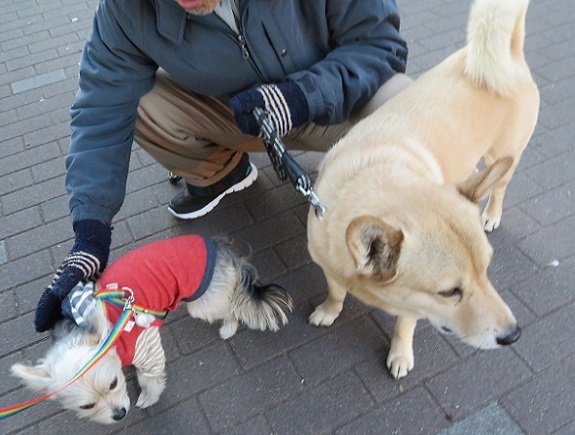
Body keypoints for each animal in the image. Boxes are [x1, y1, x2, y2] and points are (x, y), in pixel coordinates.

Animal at [11, 237, 294, 424]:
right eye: (87, 405)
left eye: (113, 384)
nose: (119, 414)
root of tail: (223, 250)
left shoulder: (146, 348)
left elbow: (150, 379)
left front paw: (149, 396)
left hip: (202, 304)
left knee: (230, 307)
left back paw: (229, 327)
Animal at [308, 0, 536, 380]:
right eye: (450, 292)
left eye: (486, 270)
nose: (513, 335)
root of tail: (512, 54)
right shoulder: (326, 264)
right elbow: (335, 291)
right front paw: (329, 310)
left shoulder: (411, 307)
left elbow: (404, 326)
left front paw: (400, 355)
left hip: (504, 157)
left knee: (500, 188)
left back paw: (491, 214)